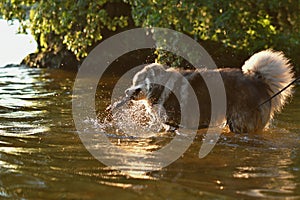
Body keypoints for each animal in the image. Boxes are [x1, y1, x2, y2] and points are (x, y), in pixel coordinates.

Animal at [109, 50, 294, 134]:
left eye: (137, 83)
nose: (126, 91)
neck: (163, 87)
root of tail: (258, 80)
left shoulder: (178, 124)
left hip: (239, 121)